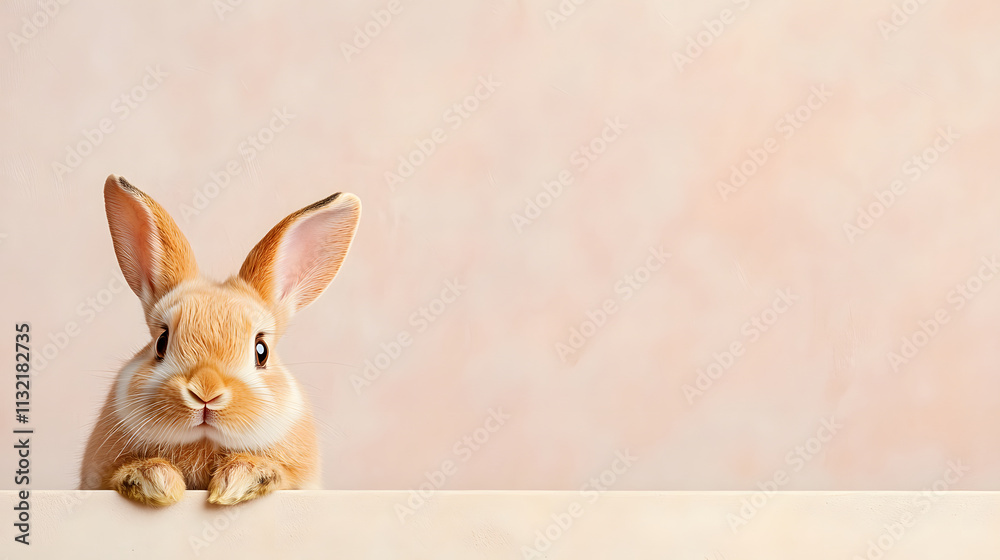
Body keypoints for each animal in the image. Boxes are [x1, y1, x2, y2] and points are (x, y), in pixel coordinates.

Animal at [80, 174, 361, 506]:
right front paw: (156, 480)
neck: (204, 444)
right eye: (161, 342)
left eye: (261, 351)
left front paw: (238, 481)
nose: (206, 392)